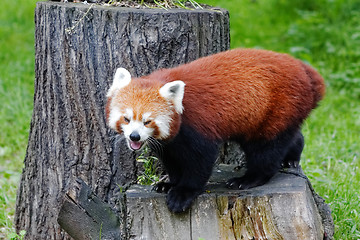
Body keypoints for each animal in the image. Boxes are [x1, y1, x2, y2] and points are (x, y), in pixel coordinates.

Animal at [105, 48, 324, 212]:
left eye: (147, 121)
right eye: (126, 119)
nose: (134, 136)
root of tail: (304, 69)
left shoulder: (197, 127)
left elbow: (200, 162)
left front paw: (183, 193)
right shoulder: (170, 143)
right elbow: (172, 161)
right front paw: (169, 183)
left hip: (275, 108)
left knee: (266, 149)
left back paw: (249, 179)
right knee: (290, 135)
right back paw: (292, 157)